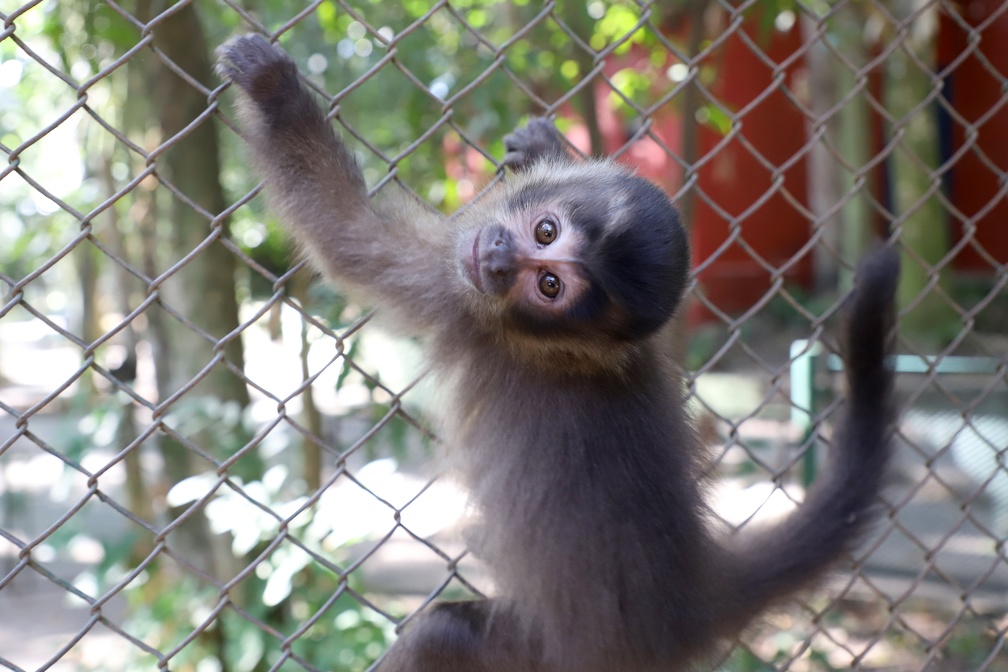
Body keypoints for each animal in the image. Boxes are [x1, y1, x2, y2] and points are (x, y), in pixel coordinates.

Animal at [216, 34, 899, 672]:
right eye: (545, 231)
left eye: (549, 285)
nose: (497, 257)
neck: (560, 347)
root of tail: (685, 605)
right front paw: (554, 150)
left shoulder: (459, 298)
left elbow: (347, 235)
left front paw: (274, 92)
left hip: (549, 654)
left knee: (444, 633)